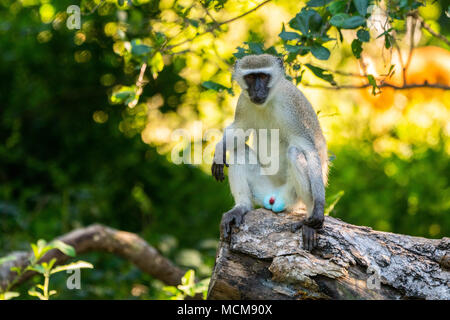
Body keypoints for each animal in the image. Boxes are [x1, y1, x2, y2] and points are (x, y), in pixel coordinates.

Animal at [213, 53, 328, 251]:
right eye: (251, 77)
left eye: (263, 76)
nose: (257, 90)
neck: (269, 101)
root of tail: (274, 197)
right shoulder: (243, 102)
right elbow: (238, 130)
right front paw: (219, 152)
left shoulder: (292, 107)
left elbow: (308, 149)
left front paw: (319, 208)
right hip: (262, 188)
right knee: (238, 150)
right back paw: (241, 207)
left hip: (292, 197)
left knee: (295, 152)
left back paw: (308, 221)